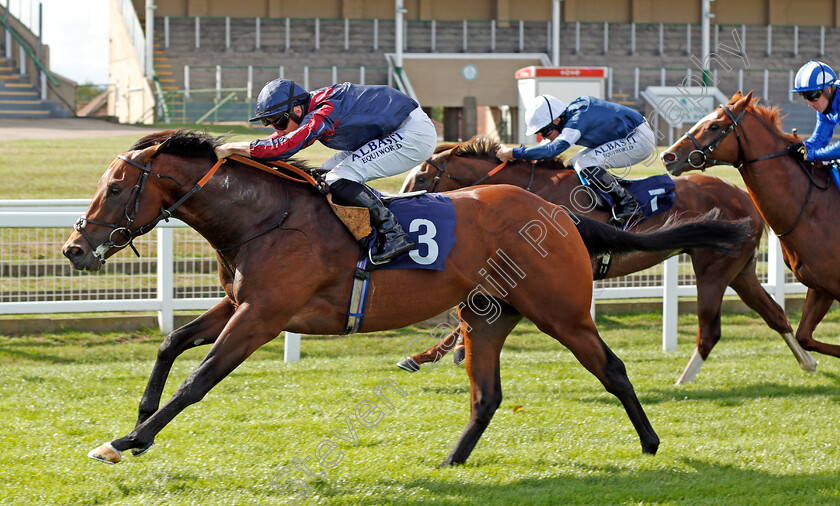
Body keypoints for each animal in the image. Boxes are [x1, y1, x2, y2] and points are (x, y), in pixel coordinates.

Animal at [62, 131, 756, 466]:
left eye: (117, 187)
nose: (74, 248)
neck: (263, 218)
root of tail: (561, 215)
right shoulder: (239, 304)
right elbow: (171, 342)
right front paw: (136, 422)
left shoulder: (263, 316)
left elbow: (198, 380)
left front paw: (128, 441)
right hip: (487, 315)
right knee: (486, 395)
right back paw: (451, 460)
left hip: (561, 311)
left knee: (611, 368)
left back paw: (651, 444)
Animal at [400, 136, 812, 382]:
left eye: (420, 177)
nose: (400, 205)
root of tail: (745, 199)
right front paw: (434, 354)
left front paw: (439, 353)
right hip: (740, 268)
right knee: (774, 314)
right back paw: (808, 362)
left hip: (712, 270)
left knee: (711, 329)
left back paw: (684, 380)